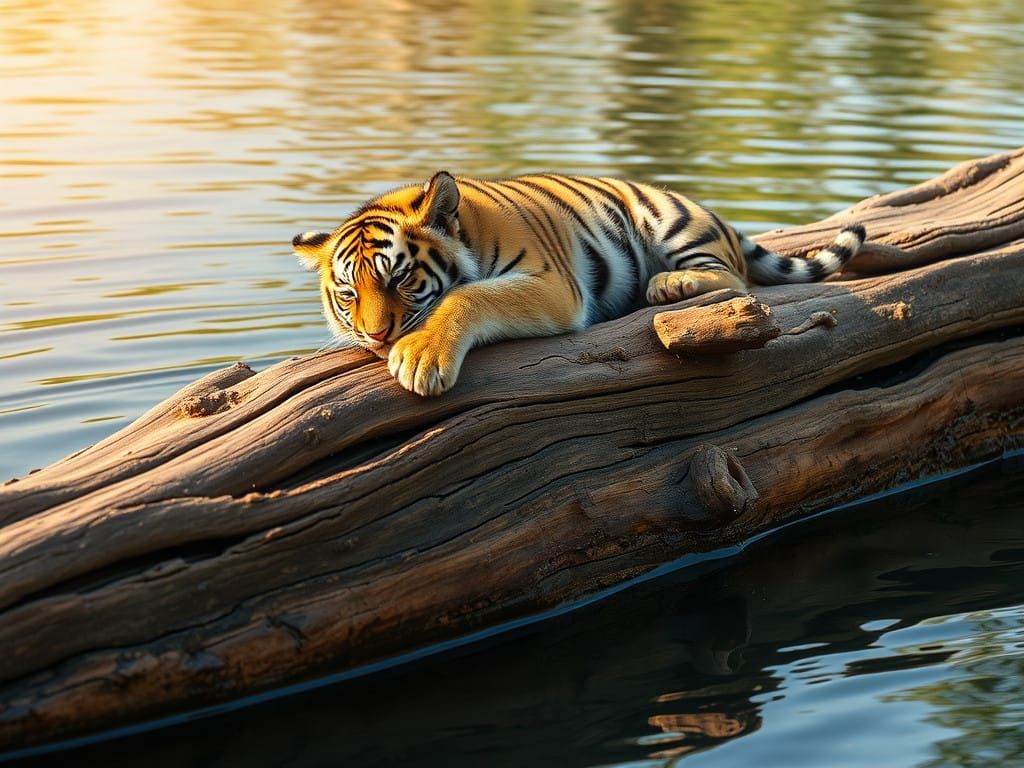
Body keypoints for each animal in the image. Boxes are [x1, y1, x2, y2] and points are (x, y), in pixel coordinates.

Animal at [294, 172, 865, 396]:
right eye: (348, 294)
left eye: (402, 277)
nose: (375, 336)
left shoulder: (552, 285)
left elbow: (468, 293)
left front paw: (420, 357)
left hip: (672, 222)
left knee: (733, 276)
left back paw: (670, 285)